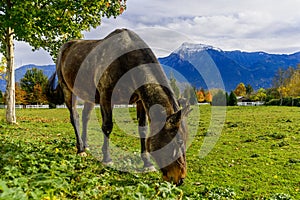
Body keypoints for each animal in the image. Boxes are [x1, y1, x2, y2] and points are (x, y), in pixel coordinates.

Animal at [48, 28, 191, 186]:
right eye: (178, 141)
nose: (180, 179)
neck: (125, 60)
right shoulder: (106, 97)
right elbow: (107, 127)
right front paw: (107, 159)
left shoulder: (140, 101)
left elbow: (143, 129)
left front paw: (147, 163)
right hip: (68, 90)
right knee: (75, 117)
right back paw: (80, 149)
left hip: (88, 95)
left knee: (85, 117)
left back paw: (85, 145)